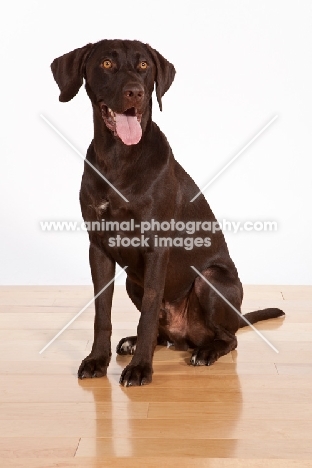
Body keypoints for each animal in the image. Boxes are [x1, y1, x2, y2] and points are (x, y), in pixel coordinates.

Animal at [51, 40, 286, 386]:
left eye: (144, 66)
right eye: (106, 63)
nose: (135, 92)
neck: (119, 158)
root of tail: (185, 336)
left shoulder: (155, 248)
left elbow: (148, 313)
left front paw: (140, 368)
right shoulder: (99, 248)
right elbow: (102, 313)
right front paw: (97, 360)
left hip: (210, 279)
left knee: (228, 338)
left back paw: (205, 351)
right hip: (131, 281)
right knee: (163, 333)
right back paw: (135, 342)